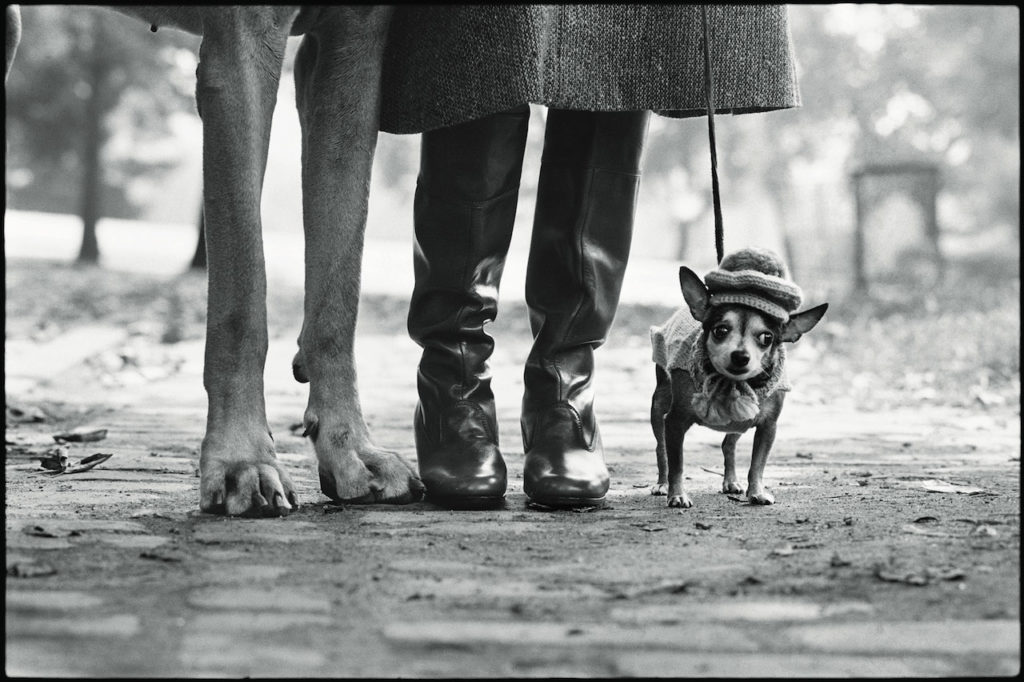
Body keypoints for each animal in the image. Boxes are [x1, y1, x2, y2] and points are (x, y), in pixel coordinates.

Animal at [651, 248, 827, 503]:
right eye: (720, 330)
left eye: (767, 338)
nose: (741, 356)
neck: (732, 384)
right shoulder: (675, 421)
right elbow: (678, 464)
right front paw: (678, 494)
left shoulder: (767, 427)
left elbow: (757, 465)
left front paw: (757, 493)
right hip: (659, 407)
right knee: (661, 449)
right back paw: (662, 484)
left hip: (739, 425)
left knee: (728, 445)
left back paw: (731, 481)